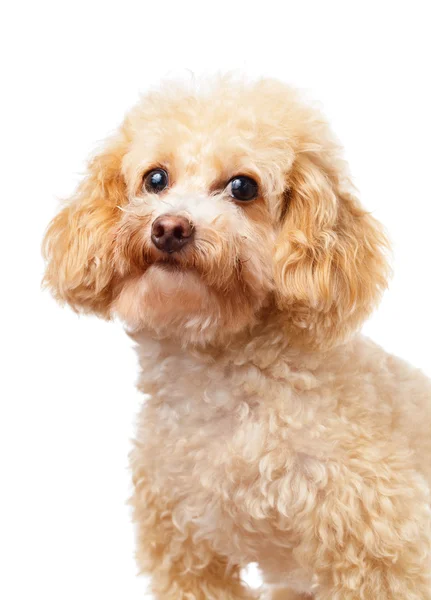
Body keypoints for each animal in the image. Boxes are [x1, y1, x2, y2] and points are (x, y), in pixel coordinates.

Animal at [43, 76, 431, 600]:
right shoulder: (186, 551)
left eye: (242, 186)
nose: (170, 227)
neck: (222, 383)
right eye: (155, 179)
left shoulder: (385, 547)